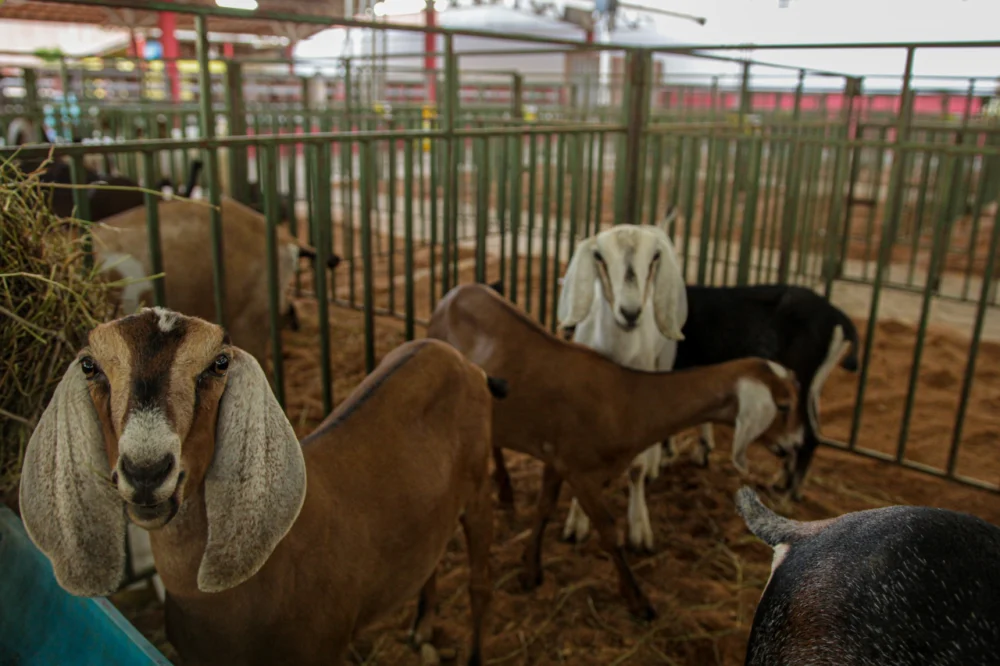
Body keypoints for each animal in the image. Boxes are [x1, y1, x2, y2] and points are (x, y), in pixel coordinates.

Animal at [21, 308, 508, 664]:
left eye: (219, 362)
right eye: (90, 366)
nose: (146, 471)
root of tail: (461, 362)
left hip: (478, 486)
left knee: (481, 585)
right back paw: (421, 628)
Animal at [426, 282, 800, 620]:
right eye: (783, 406)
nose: (794, 446)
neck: (626, 399)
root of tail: (455, 292)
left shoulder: (557, 457)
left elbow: (545, 508)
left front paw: (530, 568)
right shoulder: (580, 471)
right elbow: (609, 532)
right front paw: (638, 601)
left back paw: (505, 490)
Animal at [556, 223, 688, 548]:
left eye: (654, 257)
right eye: (598, 256)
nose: (630, 312)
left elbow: (636, 469)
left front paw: (639, 529)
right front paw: (577, 523)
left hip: (665, 357)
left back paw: (654, 464)